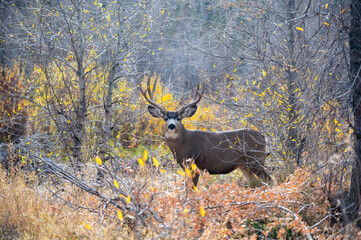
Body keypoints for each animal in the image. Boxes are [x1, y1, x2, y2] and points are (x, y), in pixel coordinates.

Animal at [139, 76, 272, 187]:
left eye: (179, 118)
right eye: (165, 118)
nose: (171, 126)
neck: (184, 143)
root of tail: (264, 137)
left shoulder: (195, 164)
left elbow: (192, 188)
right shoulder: (185, 167)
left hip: (256, 159)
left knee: (269, 179)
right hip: (245, 166)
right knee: (255, 183)